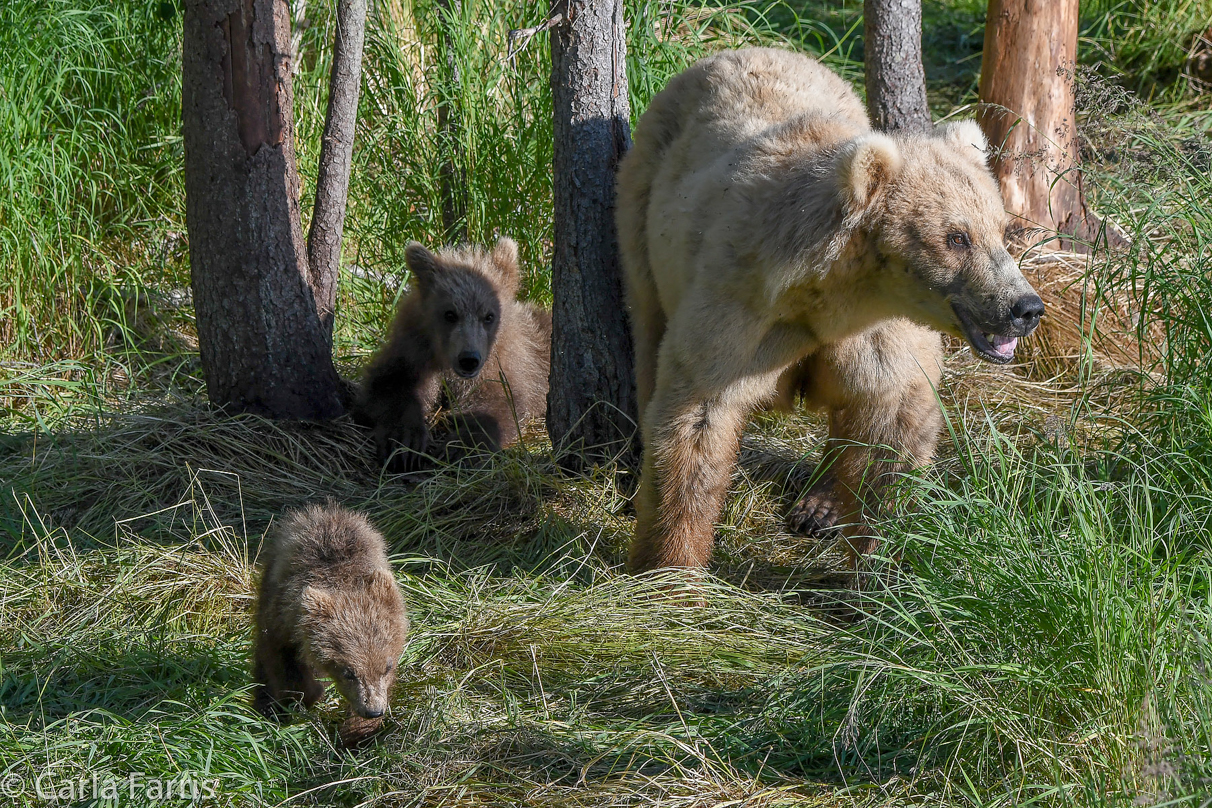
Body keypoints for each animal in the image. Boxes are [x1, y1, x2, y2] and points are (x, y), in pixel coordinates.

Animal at [253, 501, 409, 731]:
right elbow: (282, 663)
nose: (373, 710)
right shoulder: (282, 619)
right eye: (348, 672)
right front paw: (300, 698)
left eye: (387, 667)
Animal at [353, 237, 552, 470]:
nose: (469, 360)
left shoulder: (508, 364)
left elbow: (499, 402)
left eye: (489, 316)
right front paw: (405, 442)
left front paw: (460, 447)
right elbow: (390, 384)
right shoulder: (415, 351)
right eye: (449, 314)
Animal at [620, 47, 1047, 571]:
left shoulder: (878, 333)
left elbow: (890, 426)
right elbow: (699, 415)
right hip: (641, 209)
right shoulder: (738, 311)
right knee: (647, 331)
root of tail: (745, 50)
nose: (1025, 307)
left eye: (1001, 229)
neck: (827, 296)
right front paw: (670, 567)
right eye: (956, 238)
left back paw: (819, 505)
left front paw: (881, 557)